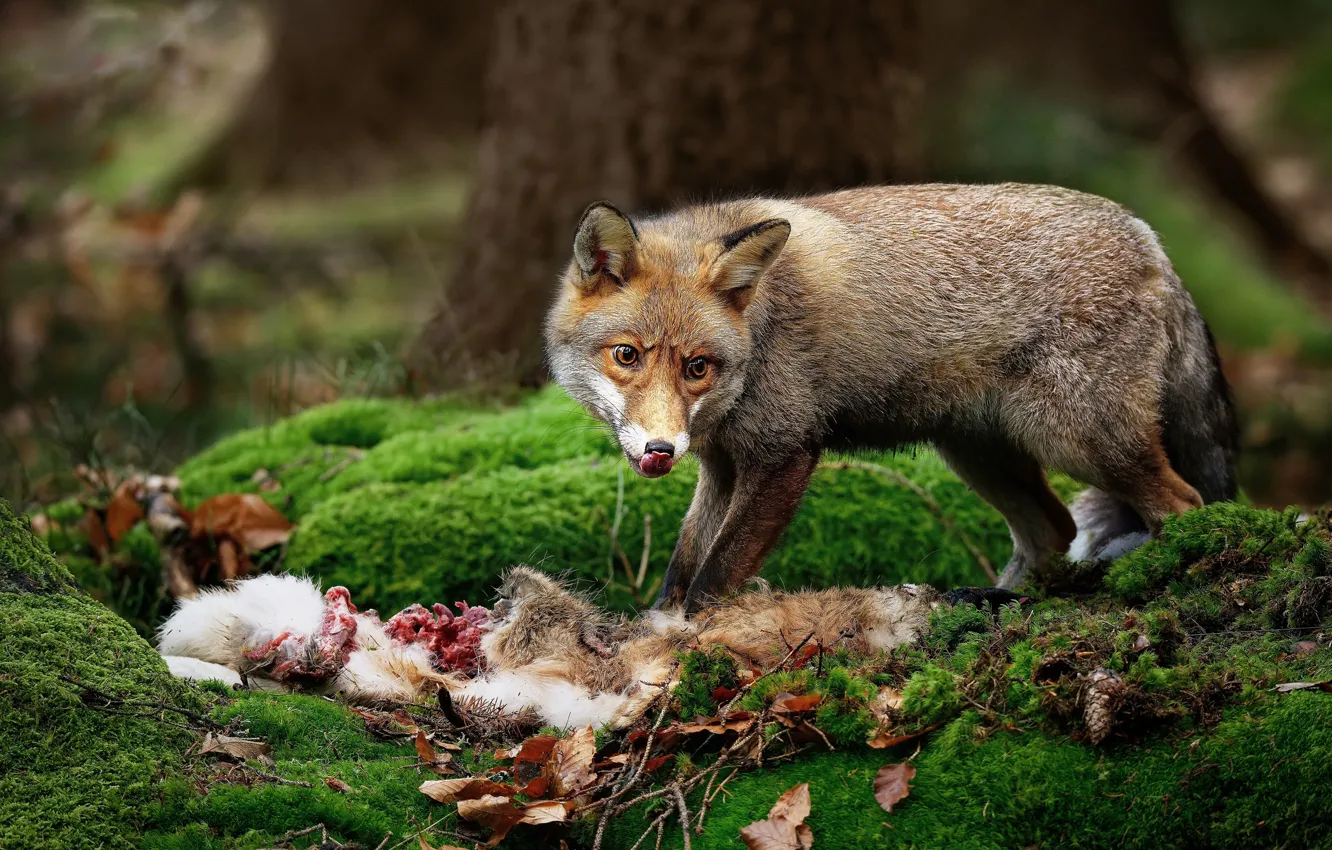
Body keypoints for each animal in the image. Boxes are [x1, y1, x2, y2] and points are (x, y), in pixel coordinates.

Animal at [544, 184, 1239, 613]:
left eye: (696, 367)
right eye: (627, 356)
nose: (661, 450)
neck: (758, 338)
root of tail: (1150, 239)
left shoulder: (783, 453)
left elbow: (713, 579)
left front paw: (689, 645)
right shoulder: (720, 463)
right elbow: (681, 570)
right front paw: (660, 628)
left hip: (1079, 440)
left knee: (1184, 505)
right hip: (978, 452)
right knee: (1054, 532)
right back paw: (998, 602)